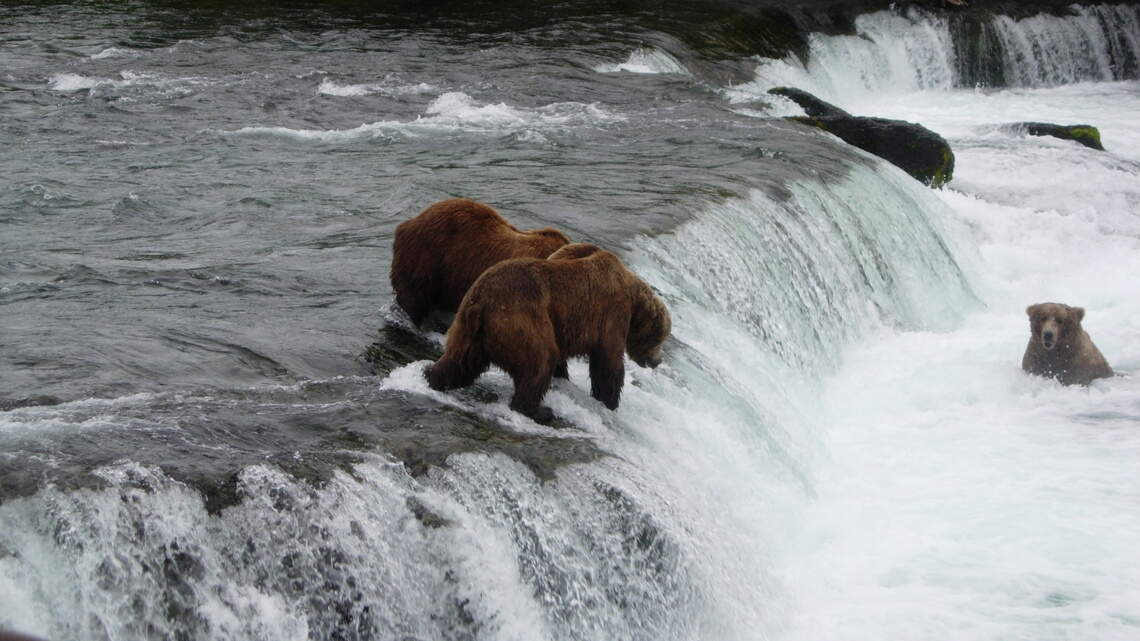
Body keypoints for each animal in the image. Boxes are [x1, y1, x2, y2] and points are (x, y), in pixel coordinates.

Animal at [424, 243, 671, 423]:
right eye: (660, 338)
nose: (657, 361)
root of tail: (481, 302)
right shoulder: (611, 314)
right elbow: (608, 363)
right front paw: (609, 400)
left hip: (468, 326)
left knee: (460, 360)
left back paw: (431, 376)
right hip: (521, 318)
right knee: (539, 360)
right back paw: (538, 411)